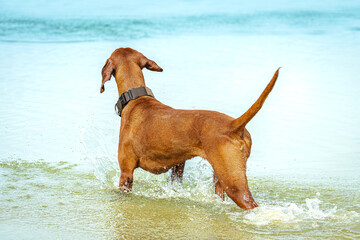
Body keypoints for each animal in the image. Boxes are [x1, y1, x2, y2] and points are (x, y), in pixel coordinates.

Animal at [100, 47, 280, 209]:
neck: (136, 99)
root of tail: (234, 124)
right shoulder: (178, 165)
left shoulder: (126, 172)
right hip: (221, 178)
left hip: (234, 184)